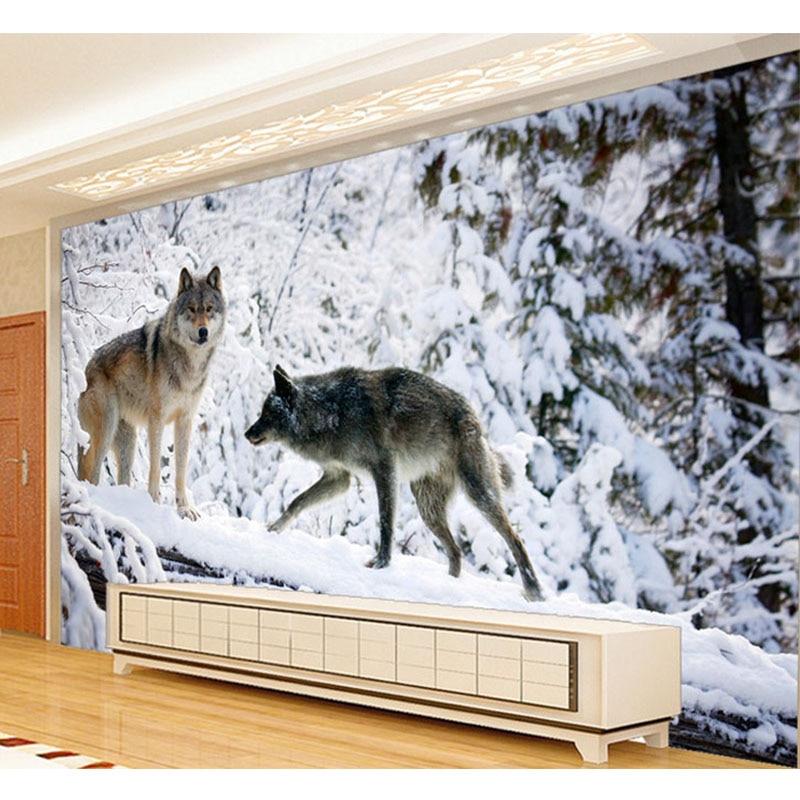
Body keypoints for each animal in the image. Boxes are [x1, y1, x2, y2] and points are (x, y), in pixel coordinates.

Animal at [77, 266, 225, 520]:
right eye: (191, 309)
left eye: (208, 309)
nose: (203, 331)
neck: (189, 365)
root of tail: (85, 369)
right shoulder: (156, 419)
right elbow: (156, 466)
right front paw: (155, 501)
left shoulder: (185, 420)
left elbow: (181, 469)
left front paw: (184, 508)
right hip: (106, 428)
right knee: (90, 467)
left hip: (127, 442)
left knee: (121, 477)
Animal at [245, 365, 544, 600]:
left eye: (267, 414)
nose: (247, 433)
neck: (332, 412)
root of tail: (476, 418)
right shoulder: (339, 478)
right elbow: (296, 502)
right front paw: (273, 529)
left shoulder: (384, 470)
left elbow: (385, 522)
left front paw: (381, 563)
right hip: (428, 509)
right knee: (456, 551)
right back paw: (450, 586)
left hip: (478, 495)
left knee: (515, 538)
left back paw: (534, 591)